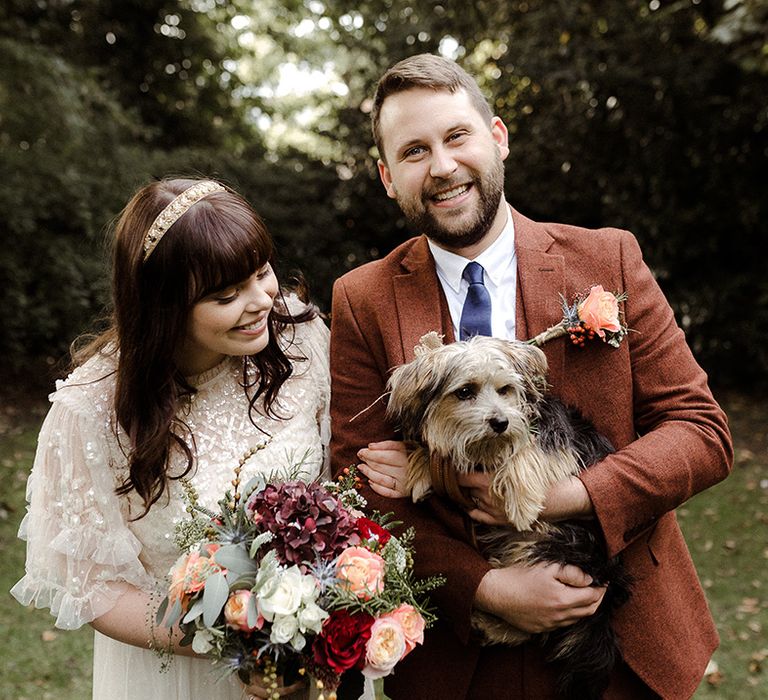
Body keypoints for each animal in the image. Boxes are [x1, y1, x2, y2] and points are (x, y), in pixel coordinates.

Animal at [384, 334, 632, 700]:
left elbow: (529, 448)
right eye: (465, 392)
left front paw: (522, 496)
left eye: (505, 390)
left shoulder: (558, 439)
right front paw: (420, 465)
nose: (501, 422)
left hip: (554, 546)